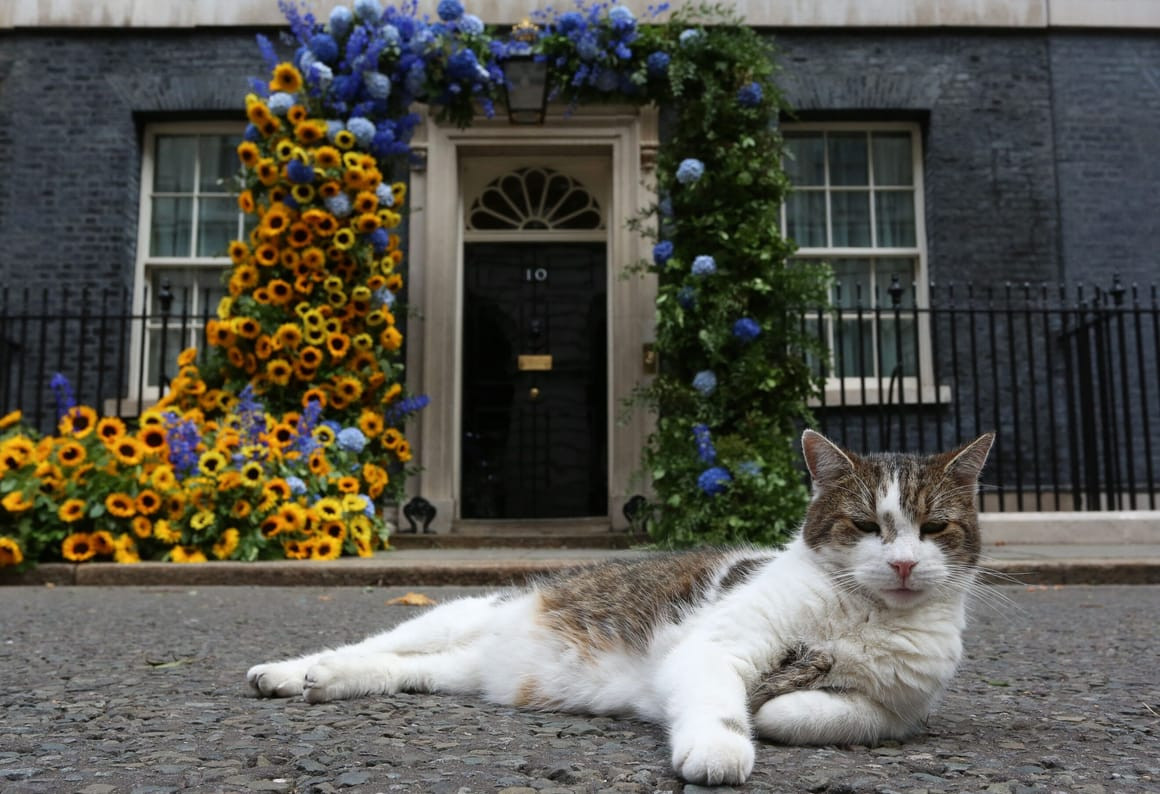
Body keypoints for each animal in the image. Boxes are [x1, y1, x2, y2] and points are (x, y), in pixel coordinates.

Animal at [249, 427, 992, 780]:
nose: (902, 563)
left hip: (454, 670)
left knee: (400, 670)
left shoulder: (893, 713)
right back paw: (289, 671)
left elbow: (817, 713)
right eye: (866, 525)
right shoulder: (715, 646)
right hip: (456, 613)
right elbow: (720, 702)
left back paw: (327, 681)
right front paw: (720, 748)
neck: (863, 617)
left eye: (934, 528)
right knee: (373, 644)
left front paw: (780, 707)